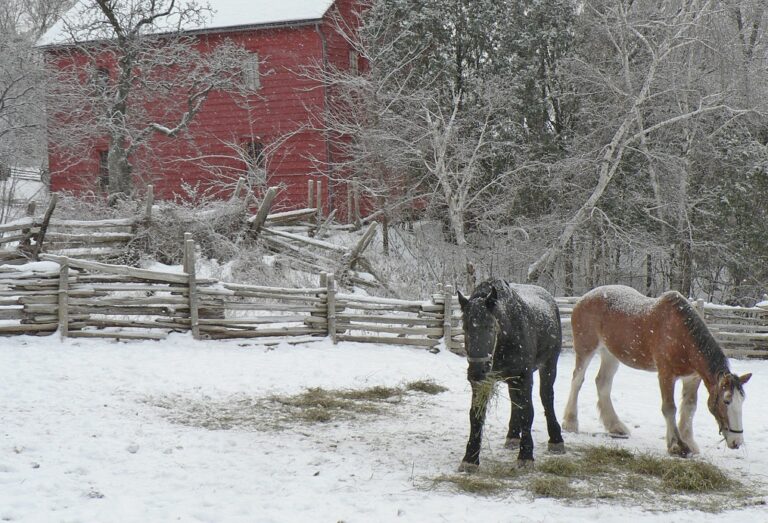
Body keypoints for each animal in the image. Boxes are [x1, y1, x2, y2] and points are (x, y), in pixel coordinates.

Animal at [456, 278, 564, 470]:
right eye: (465, 327)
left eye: (491, 326)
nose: (476, 372)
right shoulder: (484, 383)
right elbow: (476, 415)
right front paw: (470, 458)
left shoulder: (525, 376)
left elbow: (528, 412)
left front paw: (526, 455)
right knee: (515, 401)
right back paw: (513, 436)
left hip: (549, 364)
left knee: (546, 397)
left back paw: (556, 439)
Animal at [560, 286, 752, 458]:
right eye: (726, 401)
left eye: (742, 400)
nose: (737, 442)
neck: (682, 336)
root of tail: (583, 299)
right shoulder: (666, 375)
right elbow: (669, 408)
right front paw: (676, 445)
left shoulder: (692, 379)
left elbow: (689, 408)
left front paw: (689, 441)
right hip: (586, 349)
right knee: (577, 381)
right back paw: (570, 423)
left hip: (610, 355)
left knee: (603, 384)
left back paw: (616, 426)